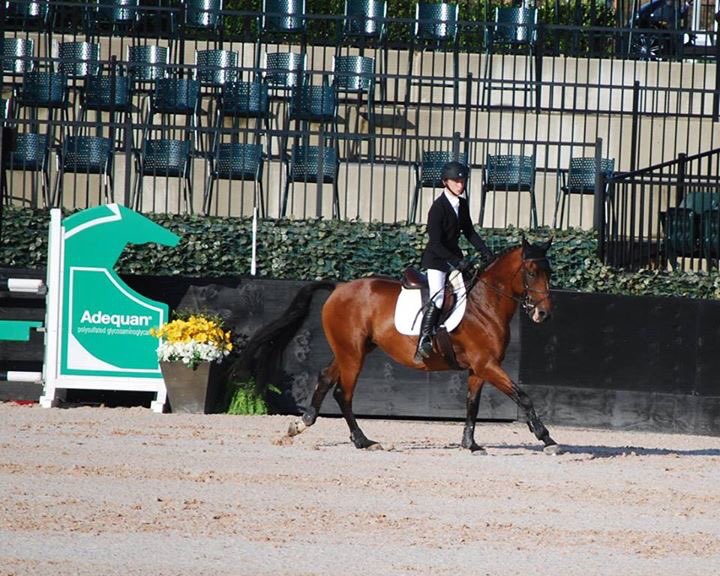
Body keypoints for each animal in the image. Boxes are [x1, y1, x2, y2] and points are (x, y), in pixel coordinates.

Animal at [250, 238, 559, 454]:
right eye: (531, 272)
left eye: (549, 272)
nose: (544, 313)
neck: (484, 303)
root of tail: (339, 288)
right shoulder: (487, 364)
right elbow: (523, 396)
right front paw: (547, 438)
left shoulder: (479, 368)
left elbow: (472, 404)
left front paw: (470, 444)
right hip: (353, 354)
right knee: (343, 393)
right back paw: (364, 441)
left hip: (352, 350)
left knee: (326, 379)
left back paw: (302, 424)